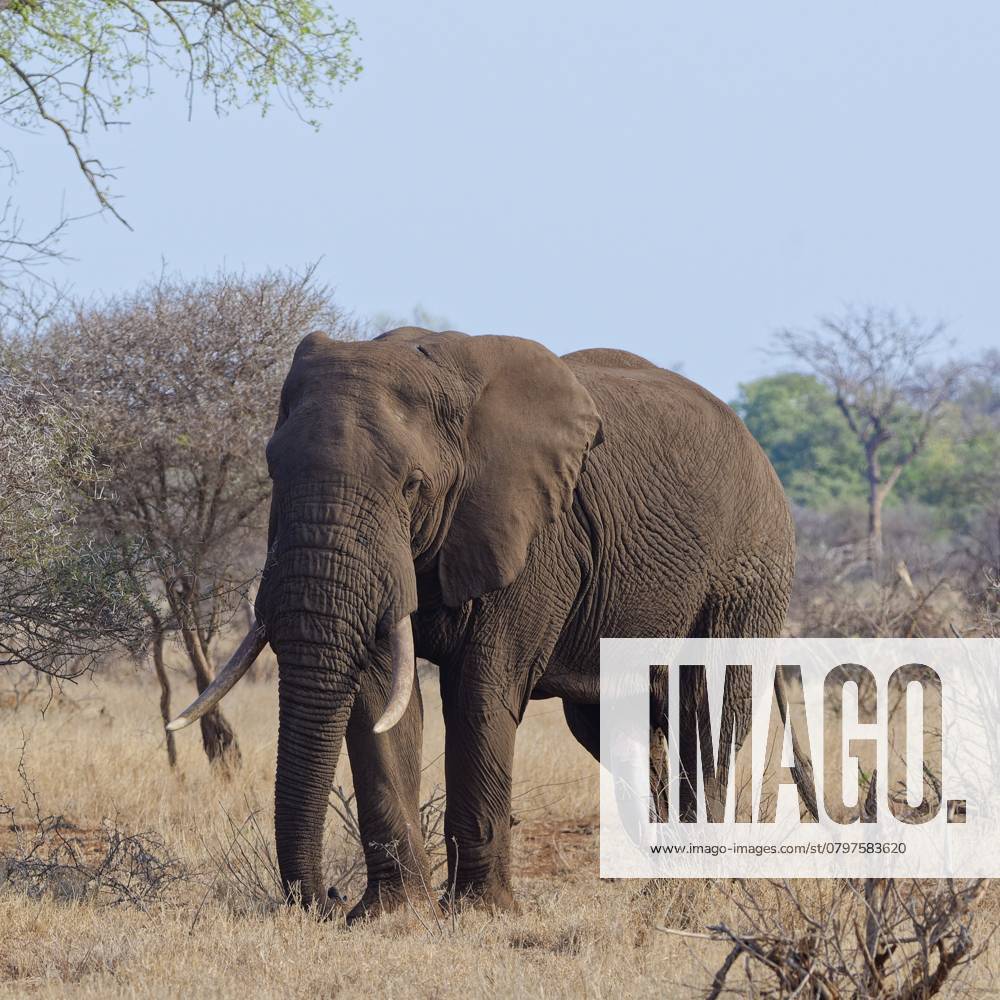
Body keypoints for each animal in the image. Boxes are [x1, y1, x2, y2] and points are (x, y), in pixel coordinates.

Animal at [168, 328, 795, 922]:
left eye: (412, 485)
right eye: (273, 470)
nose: (324, 898)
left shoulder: (536, 538)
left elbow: (480, 691)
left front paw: (476, 912)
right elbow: (380, 699)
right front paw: (393, 917)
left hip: (750, 568)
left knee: (707, 707)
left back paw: (692, 893)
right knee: (614, 727)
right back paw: (657, 890)